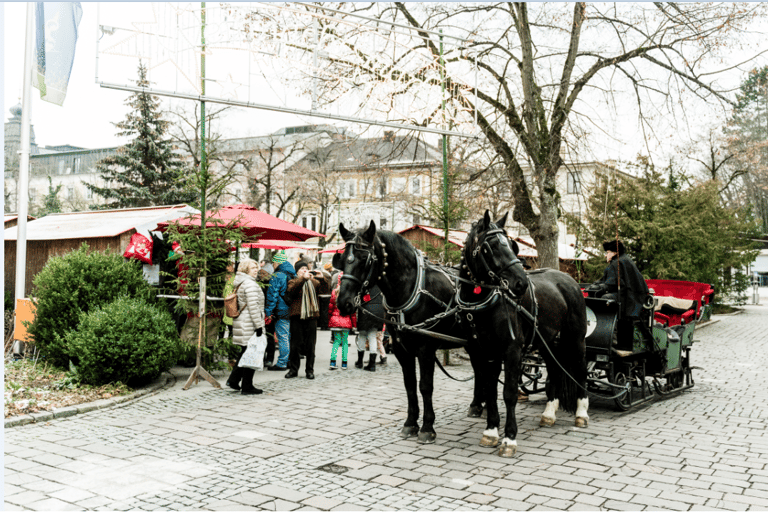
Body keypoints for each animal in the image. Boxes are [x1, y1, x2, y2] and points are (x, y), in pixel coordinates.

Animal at [332, 221, 532, 448]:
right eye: (343, 258)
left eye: (365, 259)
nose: (344, 302)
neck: (410, 288)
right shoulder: (401, 349)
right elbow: (410, 386)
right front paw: (410, 423)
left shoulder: (425, 348)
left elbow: (425, 386)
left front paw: (427, 427)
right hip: (474, 344)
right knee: (480, 371)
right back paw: (477, 405)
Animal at [464, 212, 592, 456]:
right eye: (491, 246)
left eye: (511, 245)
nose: (521, 283)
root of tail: (570, 280)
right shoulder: (486, 353)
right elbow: (490, 390)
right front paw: (491, 431)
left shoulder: (512, 351)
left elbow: (509, 393)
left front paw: (509, 438)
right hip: (549, 343)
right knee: (555, 371)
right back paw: (549, 413)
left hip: (575, 340)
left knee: (580, 370)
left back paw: (581, 413)